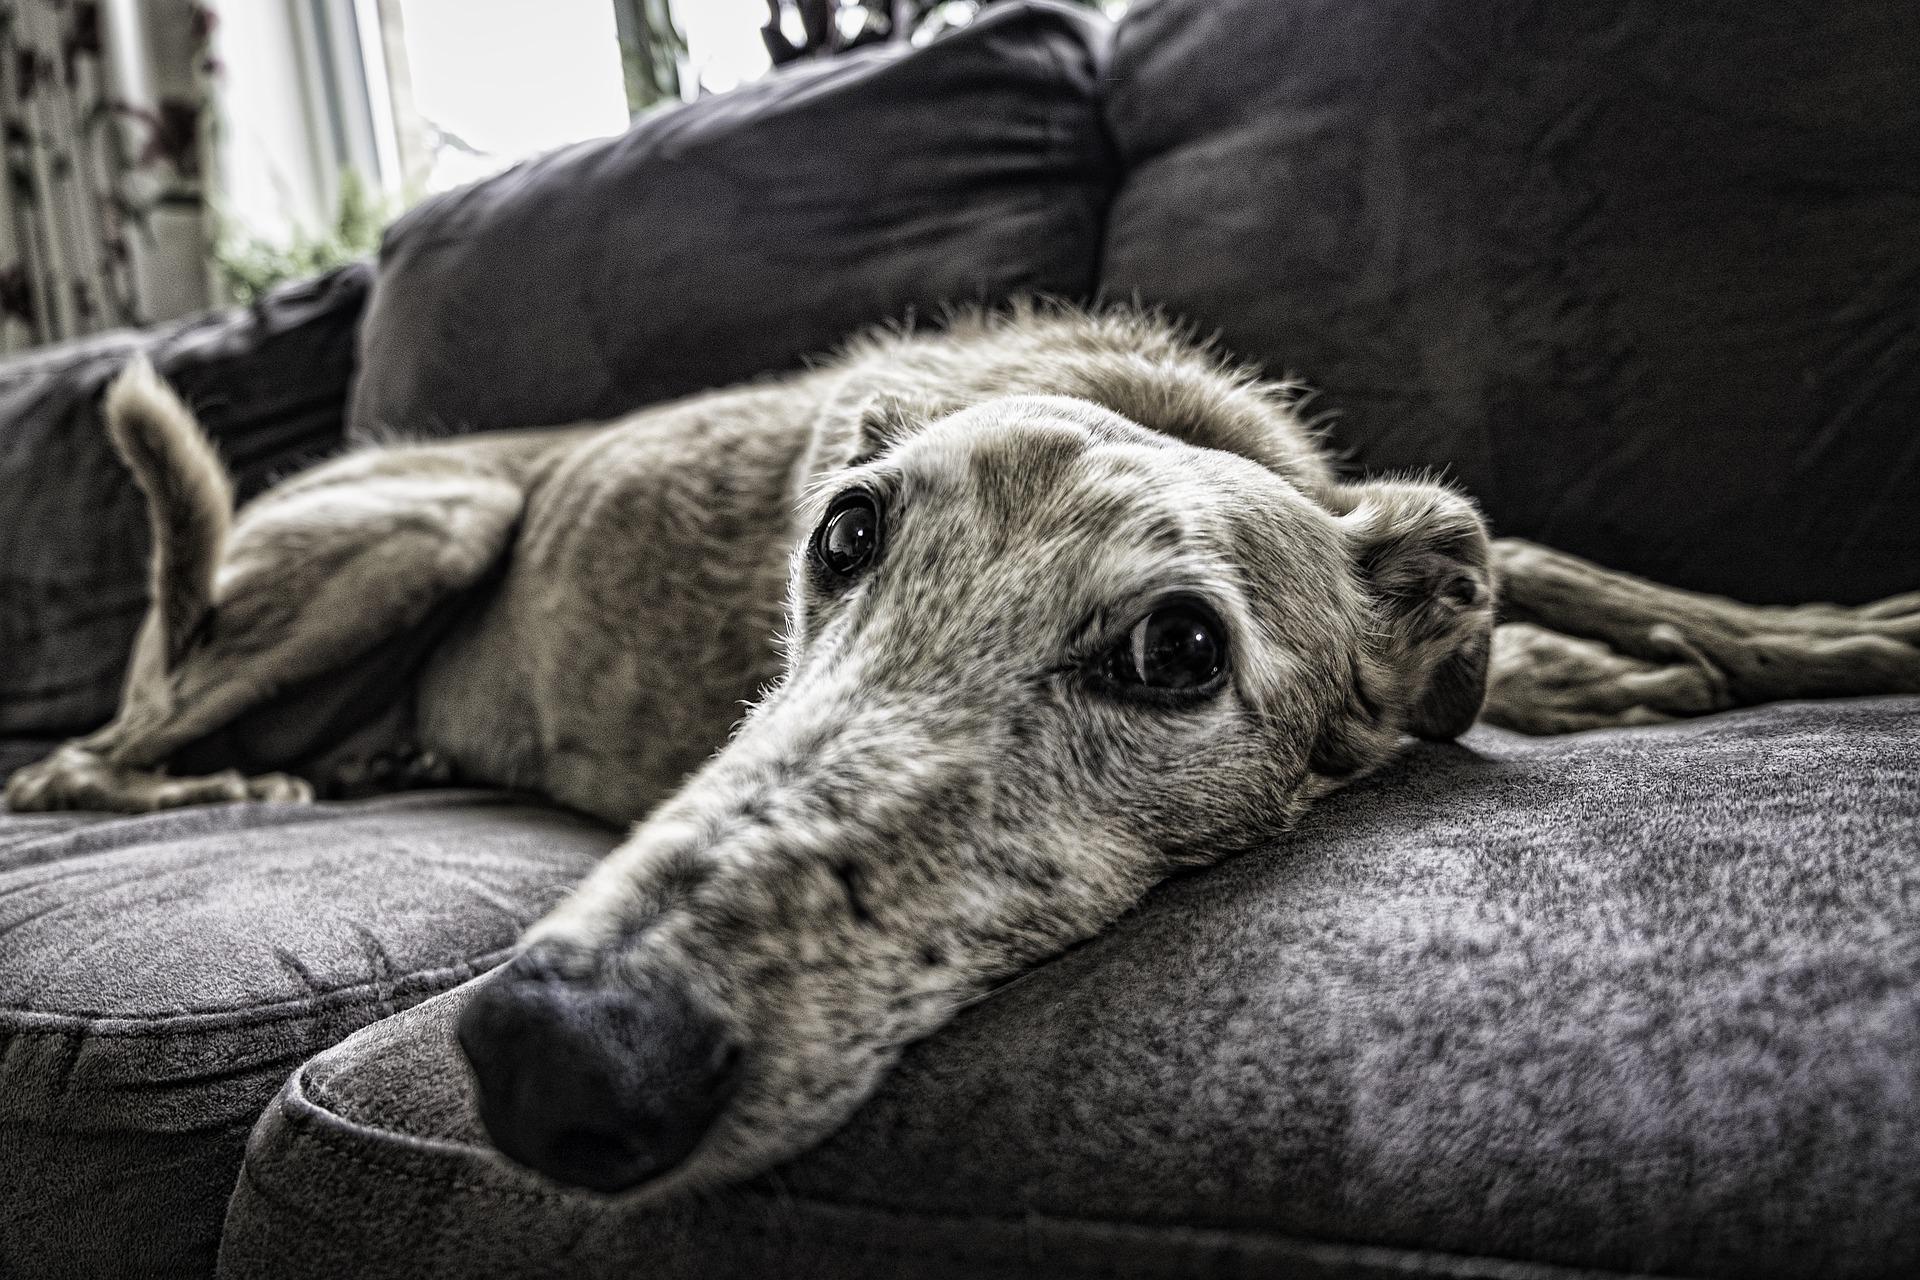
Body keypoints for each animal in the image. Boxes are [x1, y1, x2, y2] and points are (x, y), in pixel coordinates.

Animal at [7, 307, 1912, 1205]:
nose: (556, 1053)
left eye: (1177, 650)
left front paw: (1817, 638)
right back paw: (228, 782)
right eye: (843, 532)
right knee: (79, 763)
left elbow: (1564, 562)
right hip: (424, 525)